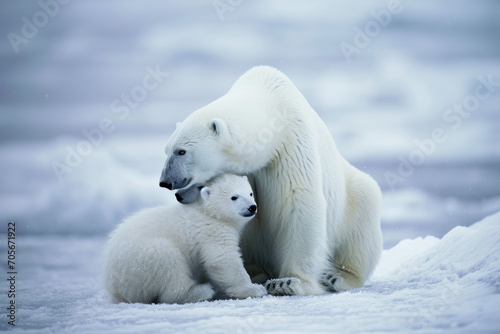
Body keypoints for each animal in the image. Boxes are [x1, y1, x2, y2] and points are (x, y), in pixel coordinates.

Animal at [101, 174, 266, 304]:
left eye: (250, 193)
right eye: (234, 197)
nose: (252, 207)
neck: (206, 211)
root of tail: (114, 288)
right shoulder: (211, 230)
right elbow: (222, 259)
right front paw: (254, 288)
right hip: (140, 261)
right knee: (169, 263)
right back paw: (200, 291)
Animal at [160, 66, 382, 296]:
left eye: (181, 151)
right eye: (166, 150)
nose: (166, 183)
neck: (271, 99)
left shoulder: (291, 145)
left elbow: (299, 201)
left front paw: (288, 282)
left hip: (353, 198)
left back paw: (337, 277)